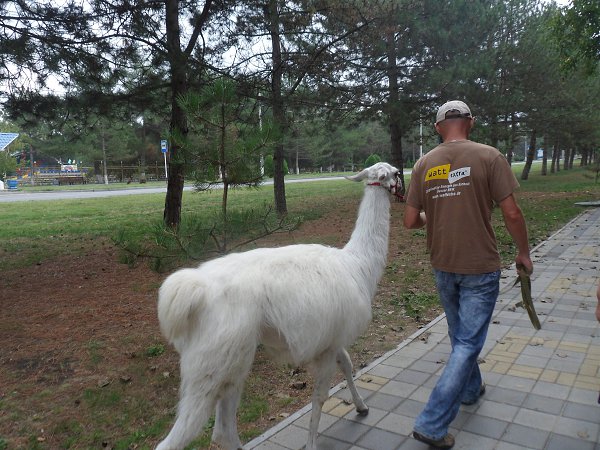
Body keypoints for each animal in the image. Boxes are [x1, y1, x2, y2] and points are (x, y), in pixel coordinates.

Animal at [156, 162, 401, 450]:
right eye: (394, 173)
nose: (401, 181)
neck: (358, 265)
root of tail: (194, 290)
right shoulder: (326, 346)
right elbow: (320, 397)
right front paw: (312, 442)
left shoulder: (332, 338)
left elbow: (349, 365)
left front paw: (361, 406)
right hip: (215, 363)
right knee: (181, 437)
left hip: (228, 364)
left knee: (222, 430)